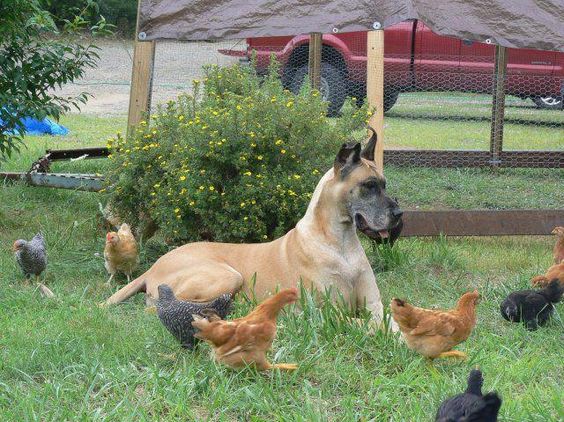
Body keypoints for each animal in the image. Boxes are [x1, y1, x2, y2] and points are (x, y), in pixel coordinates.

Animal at [106, 130, 404, 328]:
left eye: (384, 183)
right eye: (368, 186)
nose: (399, 214)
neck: (340, 243)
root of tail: (154, 266)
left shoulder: (374, 305)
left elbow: (388, 319)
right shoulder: (330, 312)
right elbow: (372, 325)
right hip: (226, 275)